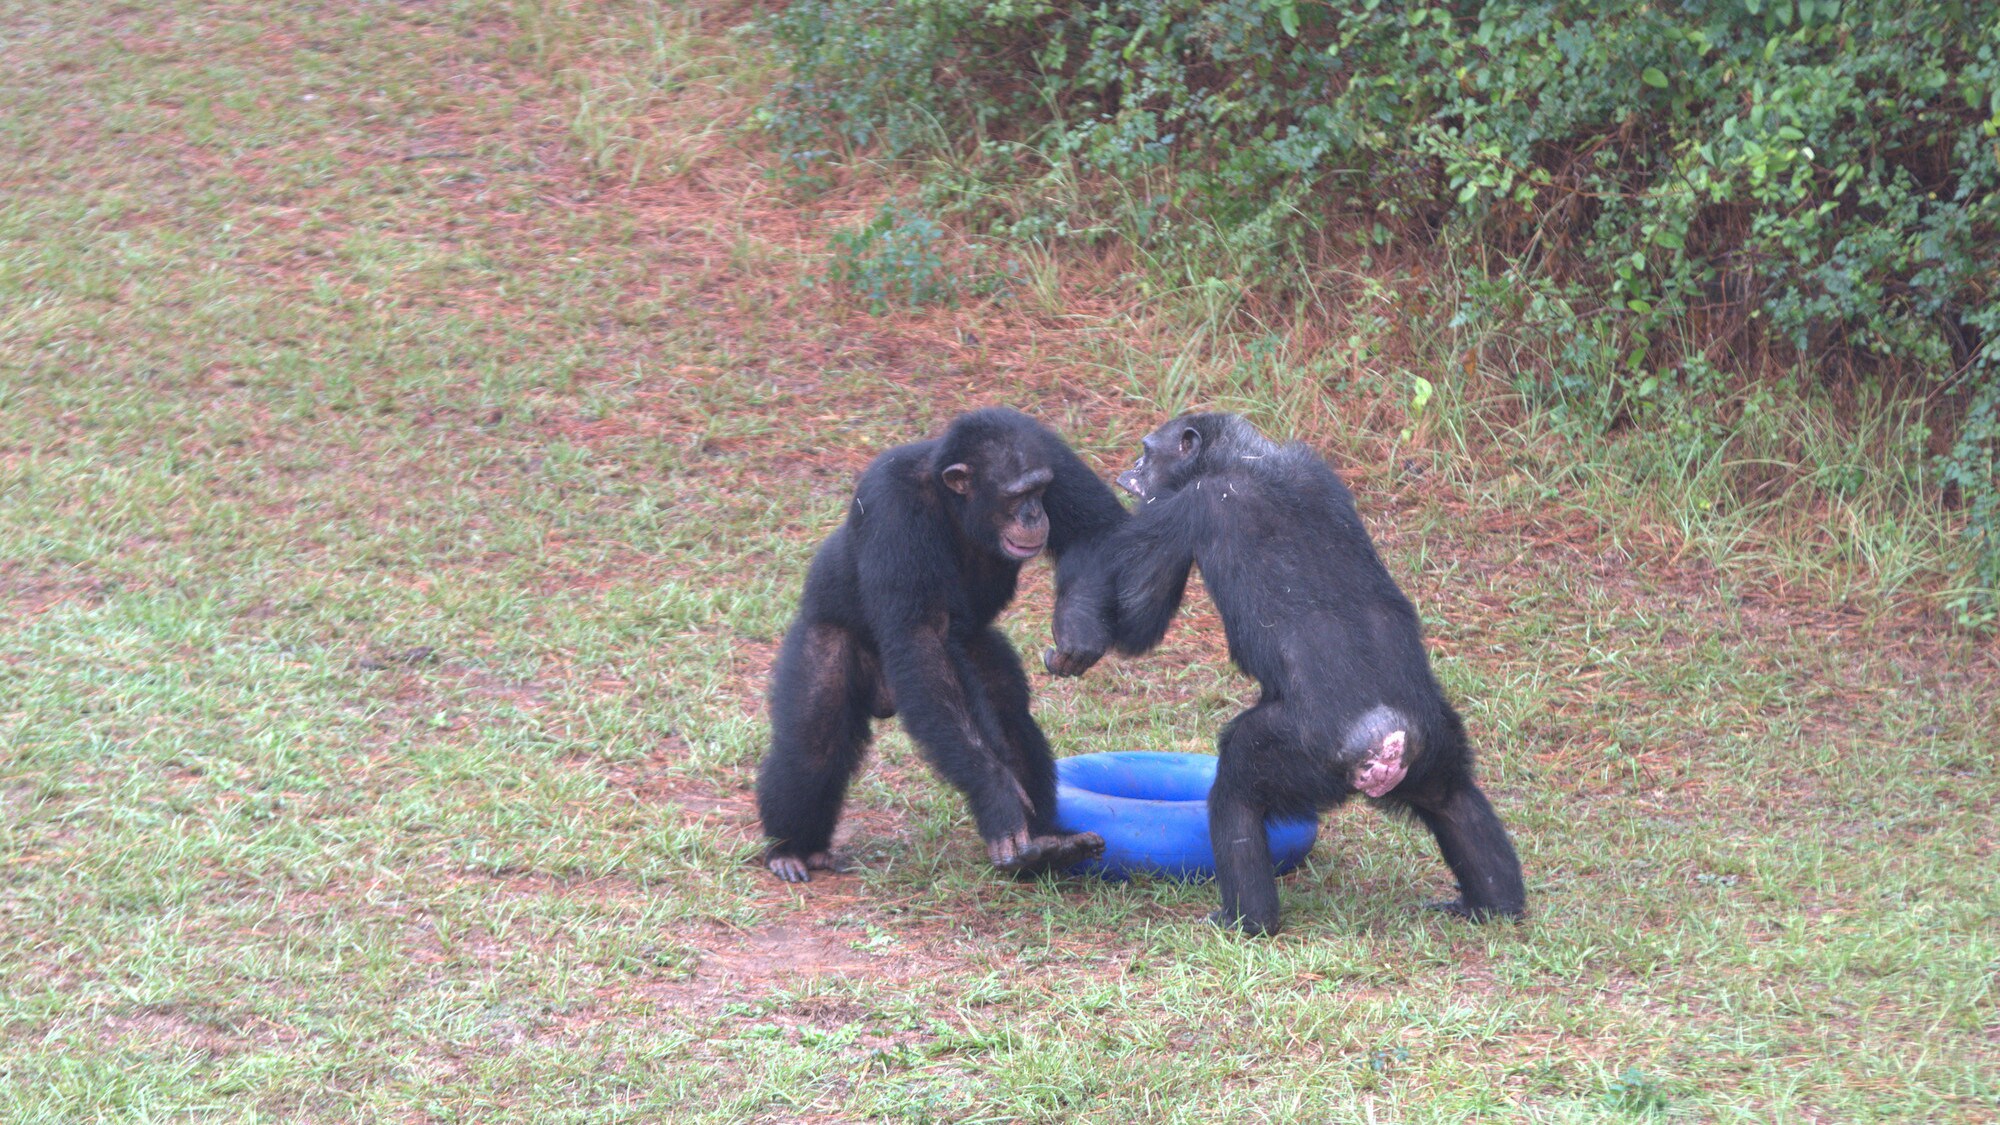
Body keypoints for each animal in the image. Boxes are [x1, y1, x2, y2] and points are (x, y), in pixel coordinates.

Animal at [752, 406, 1128, 880]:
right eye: (1015, 495)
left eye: (1040, 489)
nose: (1033, 514)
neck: (956, 506)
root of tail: (885, 696)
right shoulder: (891, 503)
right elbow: (922, 640)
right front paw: (997, 796)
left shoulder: (1052, 454)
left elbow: (1098, 530)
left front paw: (1077, 626)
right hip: (824, 635)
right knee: (811, 742)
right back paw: (793, 849)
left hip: (977, 649)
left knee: (1007, 714)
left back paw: (1049, 844)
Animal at [1048, 410, 1528, 928]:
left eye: (1147, 450)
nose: (1130, 470)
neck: (1247, 461)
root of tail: (1388, 736)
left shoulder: (1191, 504)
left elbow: (1140, 619)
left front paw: (1076, 631)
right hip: (1438, 739)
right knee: (1453, 799)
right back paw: (1493, 902)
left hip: (1300, 751)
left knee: (1236, 788)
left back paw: (1244, 919)